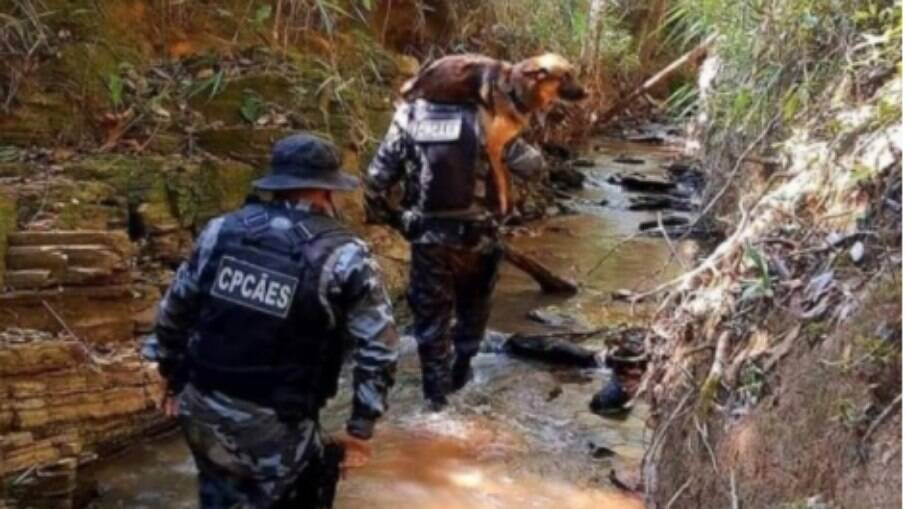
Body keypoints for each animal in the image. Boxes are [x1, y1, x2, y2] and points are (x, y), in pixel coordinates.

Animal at [150, 133, 398, 506]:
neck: (285, 216)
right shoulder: (358, 260)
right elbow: (375, 347)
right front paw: (358, 439)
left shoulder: (205, 241)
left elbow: (176, 306)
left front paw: (168, 384)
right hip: (280, 456)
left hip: (210, 440)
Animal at [364, 98, 540, 408]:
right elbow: (526, 160)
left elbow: (380, 173)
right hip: (481, 268)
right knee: (472, 321)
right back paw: (458, 377)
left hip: (430, 263)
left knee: (432, 329)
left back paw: (438, 393)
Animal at [398, 54, 584, 214]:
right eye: (565, 76)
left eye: (574, 74)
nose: (586, 93)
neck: (516, 90)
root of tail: (417, 79)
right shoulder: (493, 144)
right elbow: (501, 180)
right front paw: (504, 207)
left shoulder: (501, 146)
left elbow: (502, 174)